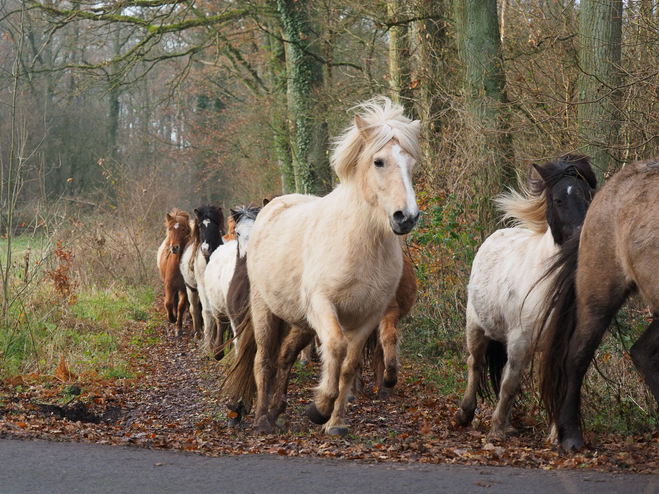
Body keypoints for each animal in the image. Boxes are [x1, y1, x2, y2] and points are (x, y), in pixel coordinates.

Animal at [157, 206, 191, 338]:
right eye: (170, 229)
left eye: (183, 229)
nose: (174, 247)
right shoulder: (169, 285)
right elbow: (168, 303)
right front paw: (172, 318)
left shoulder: (185, 288)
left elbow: (181, 306)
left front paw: (178, 328)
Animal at [222, 97, 418, 436]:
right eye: (379, 162)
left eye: (411, 163)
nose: (405, 217)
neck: (359, 244)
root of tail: (274, 205)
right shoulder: (324, 306)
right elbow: (336, 349)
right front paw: (320, 408)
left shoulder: (368, 316)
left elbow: (349, 365)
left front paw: (335, 423)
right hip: (264, 310)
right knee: (264, 361)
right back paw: (262, 419)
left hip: (300, 322)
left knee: (286, 356)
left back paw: (276, 409)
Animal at [456, 154, 596, 440]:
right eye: (558, 199)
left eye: (589, 195)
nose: (581, 238)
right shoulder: (519, 340)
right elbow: (509, 384)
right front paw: (496, 432)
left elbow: (559, 384)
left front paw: (556, 436)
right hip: (476, 326)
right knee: (475, 363)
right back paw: (466, 413)